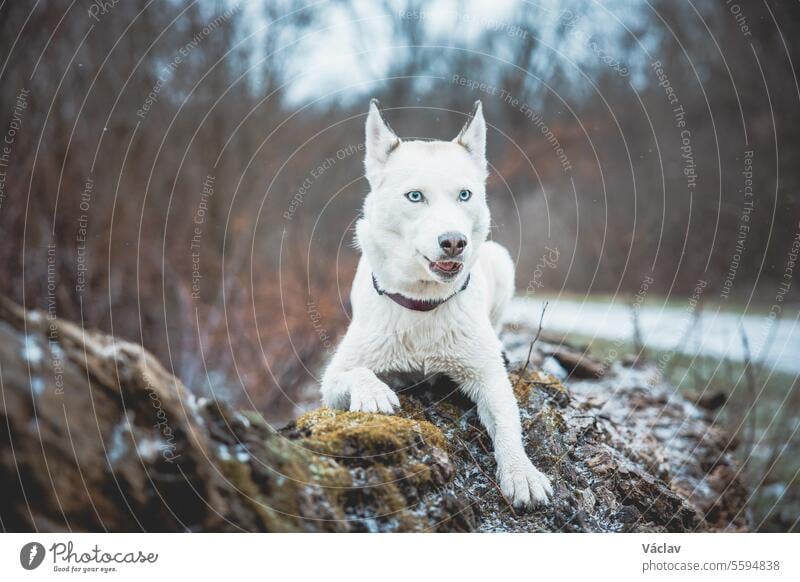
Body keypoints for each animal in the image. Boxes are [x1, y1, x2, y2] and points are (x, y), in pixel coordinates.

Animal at [318, 101, 552, 512]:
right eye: (415, 196)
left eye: (464, 195)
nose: (454, 242)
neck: (423, 305)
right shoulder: (331, 380)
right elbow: (355, 373)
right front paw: (374, 391)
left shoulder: (489, 379)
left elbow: (509, 424)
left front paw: (521, 472)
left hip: (501, 261)